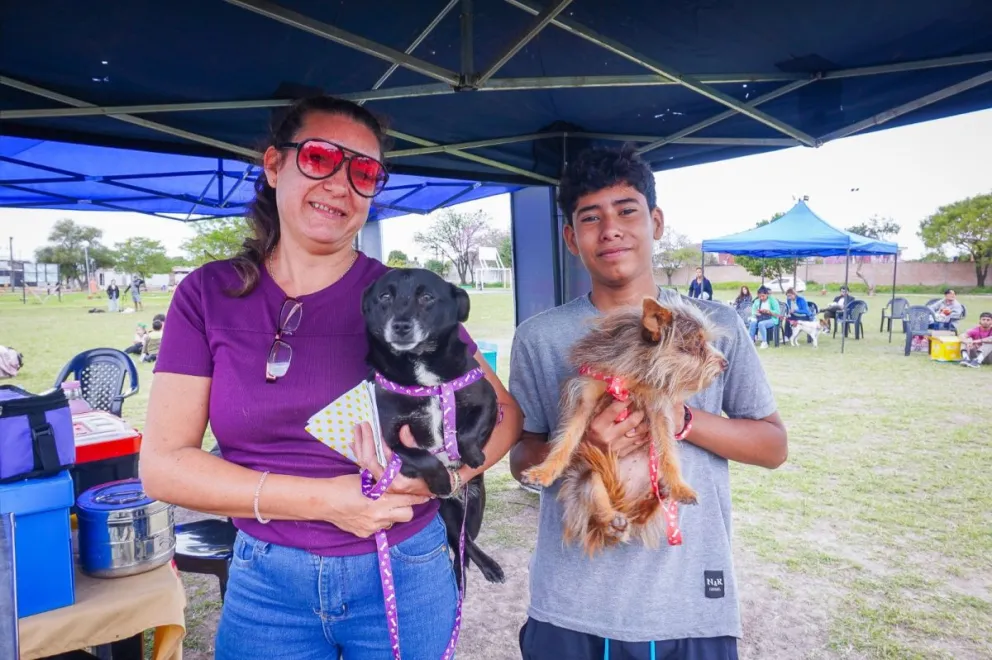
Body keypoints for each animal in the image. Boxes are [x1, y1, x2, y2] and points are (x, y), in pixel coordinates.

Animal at [362, 267, 504, 585]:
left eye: (427, 297)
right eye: (384, 297)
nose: (401, 326)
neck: (422, 369)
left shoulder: (488, 401)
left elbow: (467, 432)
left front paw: (472, 455)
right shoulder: (390, 441)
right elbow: (421, 456)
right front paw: (440, 479)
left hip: (475, 509)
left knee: (465, 544)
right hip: (447, 513)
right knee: (458, 543)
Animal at [523, 297, 727, 555]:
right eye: (696, 344)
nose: (725, 363)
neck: (632, 376)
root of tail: (623, 503)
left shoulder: (658, 409)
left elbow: (668, 451)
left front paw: (680, 486)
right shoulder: (585, 397)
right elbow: (566, 439)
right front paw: (544, 471)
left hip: (648, 487)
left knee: (645, 511)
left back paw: (662, 493)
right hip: (589, 476)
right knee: (599, 505)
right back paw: (613, 521)